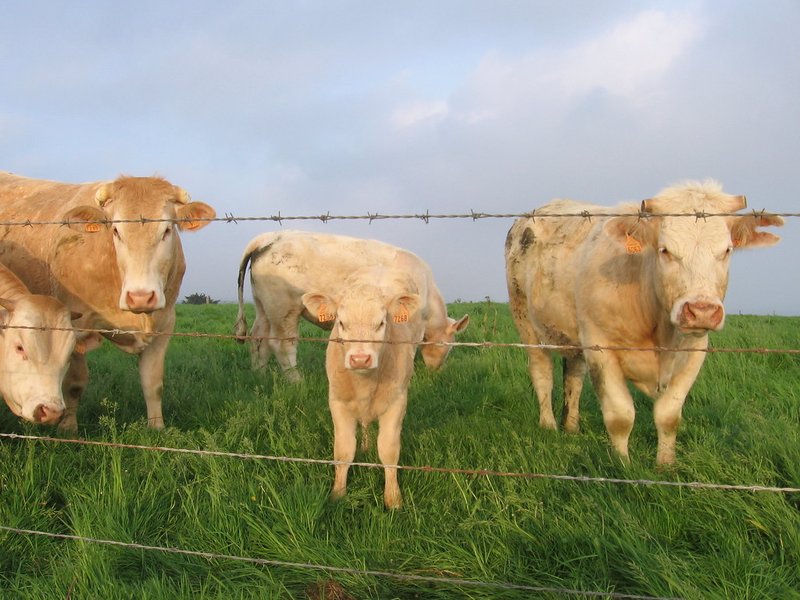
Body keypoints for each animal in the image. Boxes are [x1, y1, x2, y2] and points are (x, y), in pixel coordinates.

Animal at [0, 172, 216, 431]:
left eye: (166, 230)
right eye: (115, 231)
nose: (141, 296)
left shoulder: (165, 324)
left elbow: (153, 383)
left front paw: (157, 427)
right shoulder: (76, 325)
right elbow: (75, 382)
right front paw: (68, 428)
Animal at [234, 230, 468, 382]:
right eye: (448, 346)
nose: (437, 371)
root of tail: (270, 237)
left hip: (263, 306)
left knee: (258, 340)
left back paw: (259, 375)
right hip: (284, 308)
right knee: (281, 345)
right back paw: (296, 381)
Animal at [301, 266, 424, 509]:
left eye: (381, 323)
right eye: (341, 323)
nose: (360, 359)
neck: (365, 384)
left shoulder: (397, 403)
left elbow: (388, 450)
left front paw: (393, 499)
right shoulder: (337, 402)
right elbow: (343, 451)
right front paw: (338, 494)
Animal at [504, 180, 783, 465]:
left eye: (726, 250)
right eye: (665, 250)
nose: (702, 310)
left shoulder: (695, 351)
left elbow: (669, 416)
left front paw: (665, 465)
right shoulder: (600, 348)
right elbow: (620, 417)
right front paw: (622, 464)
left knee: (574, 375)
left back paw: (571, 428)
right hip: (525, 318)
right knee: (542, 372)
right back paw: (548, 425)